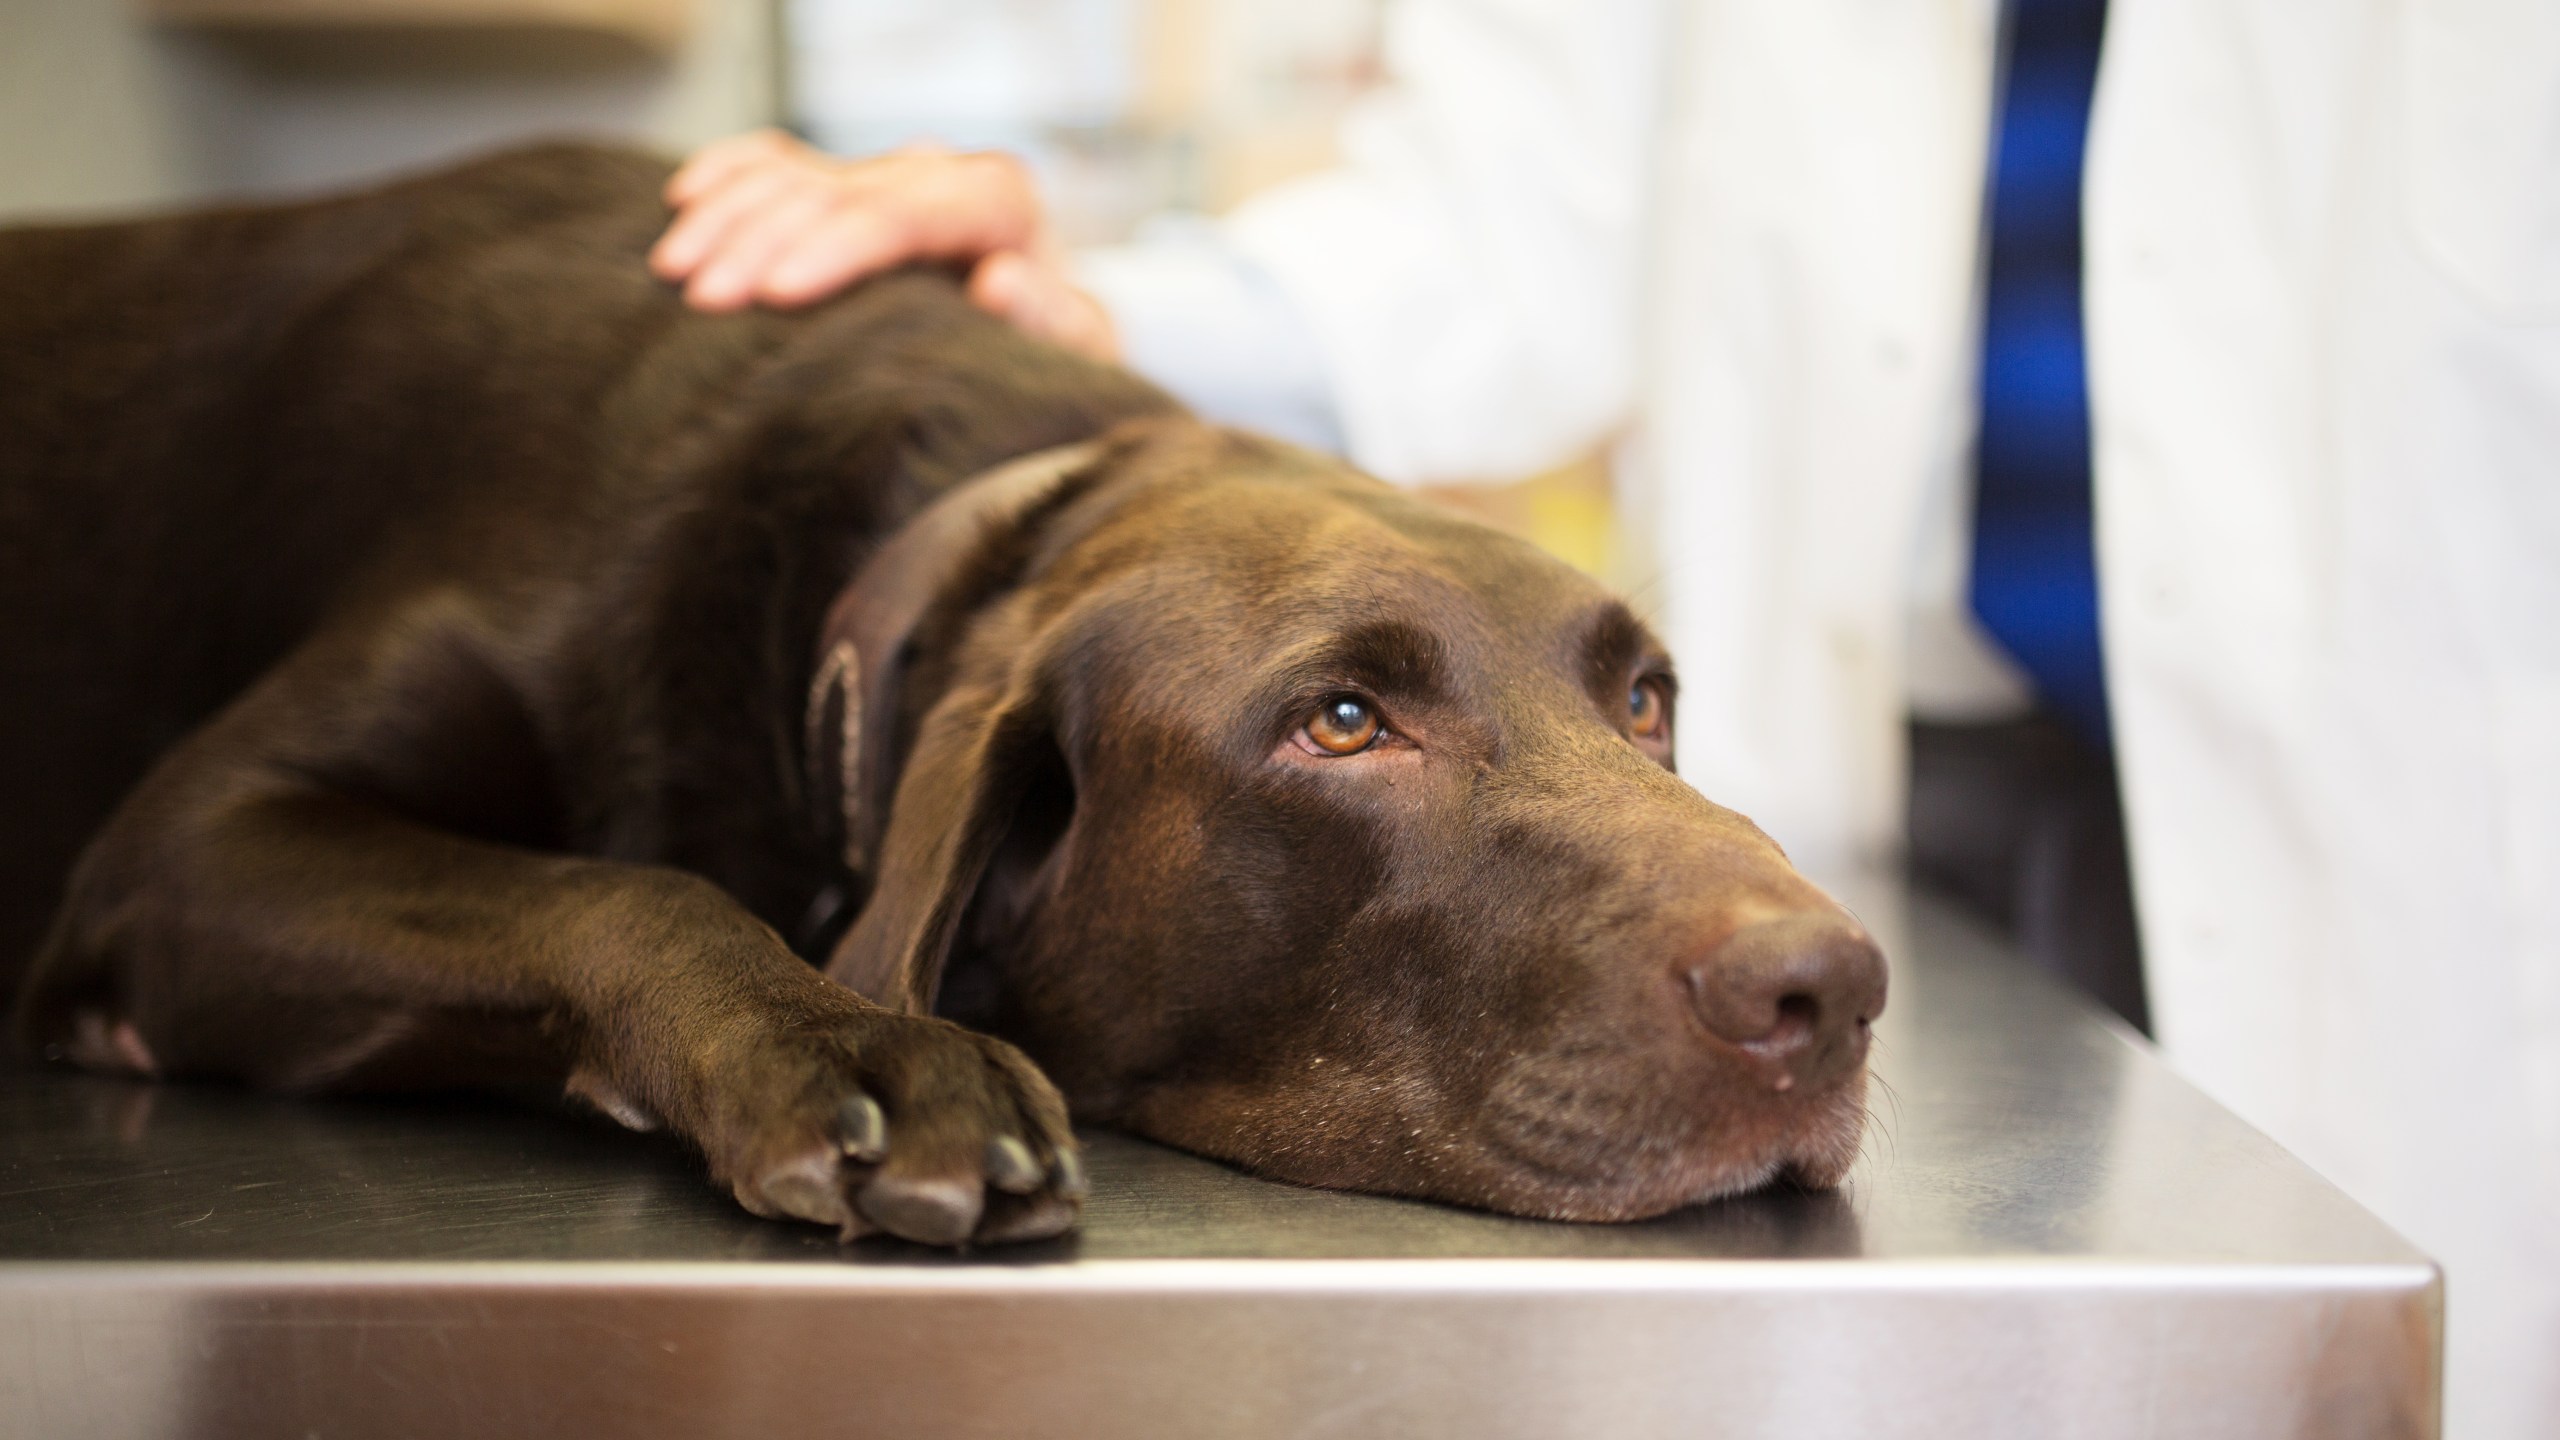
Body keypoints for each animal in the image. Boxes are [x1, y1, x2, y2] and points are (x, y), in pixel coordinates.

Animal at [0, 148, 1884, 1245]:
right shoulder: (183, 854)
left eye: (1647, 700)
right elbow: (629, 889)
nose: (1834, 990)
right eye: (1343, 723)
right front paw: (859, 1048)